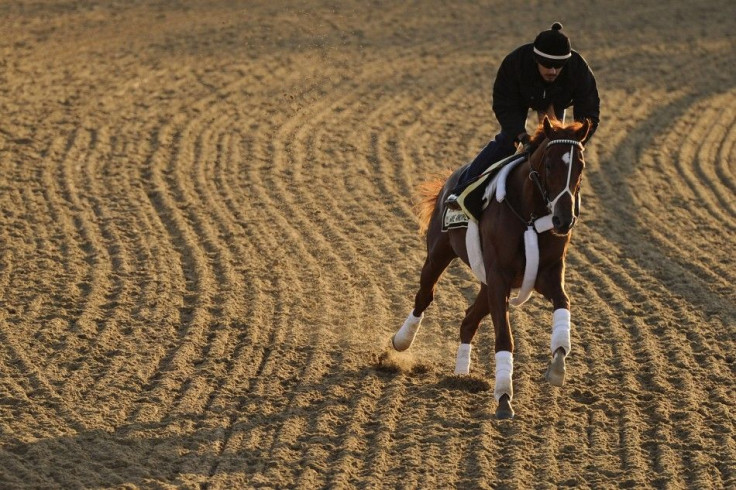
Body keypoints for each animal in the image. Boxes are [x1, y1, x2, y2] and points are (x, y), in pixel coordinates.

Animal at [392, 117, 592, 420]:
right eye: (549, 165)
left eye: (580, 165)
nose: (563, 219)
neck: (528, 215)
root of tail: (451, 177)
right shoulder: (499, 277)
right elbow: (504, 338)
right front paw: (504, 397)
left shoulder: (546, 274)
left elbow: (563, 304)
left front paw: (558, 364)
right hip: (438, 254)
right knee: (424, 296)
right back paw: (402, 340)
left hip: (486, 283)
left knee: (468, 320)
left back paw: (461, 374)